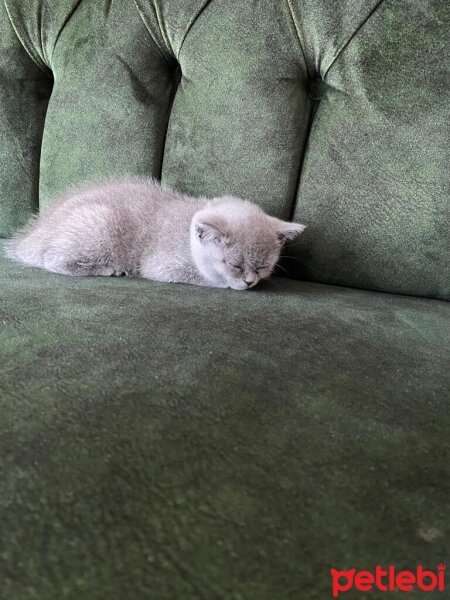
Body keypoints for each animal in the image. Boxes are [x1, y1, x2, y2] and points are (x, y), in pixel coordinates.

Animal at [6, 178, 306, 290]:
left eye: (264, 267)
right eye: (235, 265)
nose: (250, 281)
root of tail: (31, 237)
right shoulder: (163, 264)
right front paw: (228, 284)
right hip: (100, 223)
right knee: (52, 260)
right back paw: (111, 269)